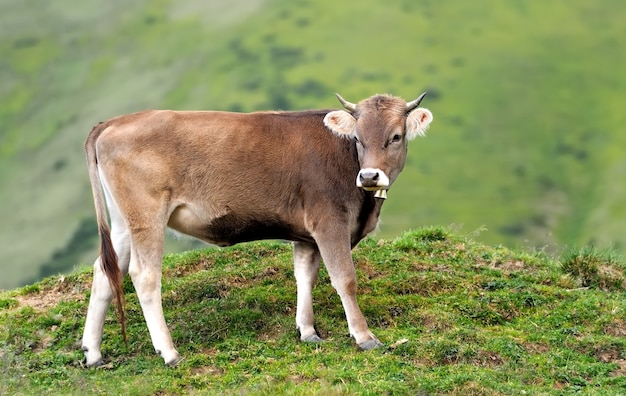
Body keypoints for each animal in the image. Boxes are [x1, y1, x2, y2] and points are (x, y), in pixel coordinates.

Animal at [80, 92, 432, 366]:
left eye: (396, 136)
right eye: (357, 138)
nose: (370, 175)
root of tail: (114, 122)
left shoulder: (307, 233)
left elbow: (305, 276)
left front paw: (308, 331)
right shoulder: (329, 221)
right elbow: (345, 279)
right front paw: (363, 336)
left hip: (123, 222)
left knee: (105, 271)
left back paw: (93, 353)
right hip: (146, 214)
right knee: (144, 275)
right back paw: (169, 352)